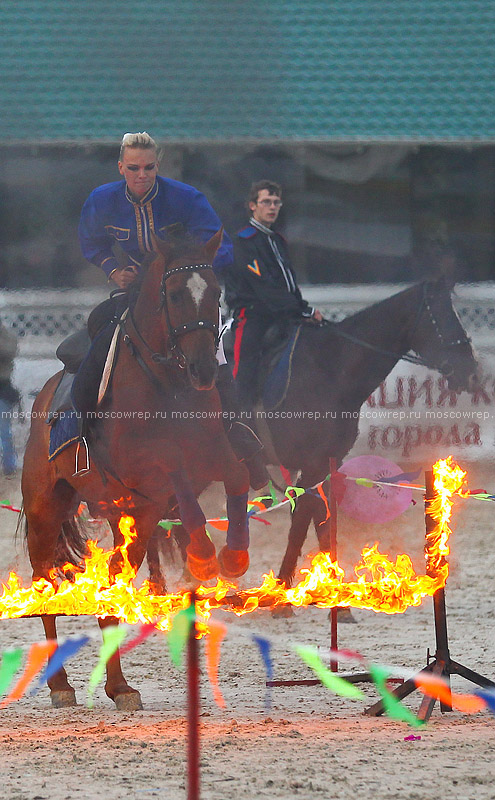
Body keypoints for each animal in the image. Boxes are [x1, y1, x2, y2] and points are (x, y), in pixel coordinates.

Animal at [21, 228, 250, 708]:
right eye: (175, 293)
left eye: (216, 293)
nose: (203, 370)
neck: (167, 384)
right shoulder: (147, 474)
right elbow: (179, 487)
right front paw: (204, 557)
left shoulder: (210, 457)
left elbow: (233, 477)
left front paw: (229, 556)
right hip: (45, 509)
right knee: (45, 582)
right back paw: (60, 682)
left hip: (130, 521)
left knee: (111, 584)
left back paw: (119, 685)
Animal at [254, 278, 478, 584]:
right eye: (439, 315)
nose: (471, 370)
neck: (328, 370)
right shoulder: (312, 464)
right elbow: (310, 521)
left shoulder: (325, 464)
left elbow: (314, 520)